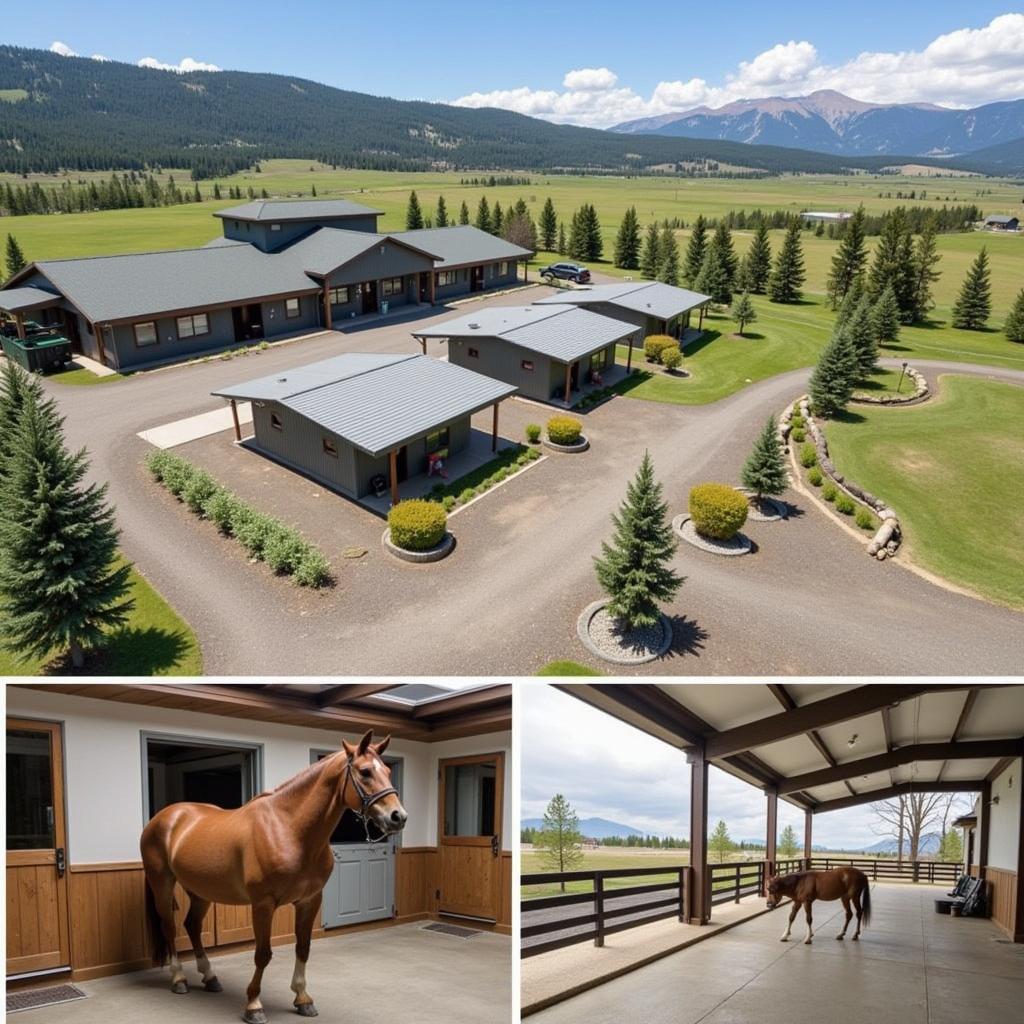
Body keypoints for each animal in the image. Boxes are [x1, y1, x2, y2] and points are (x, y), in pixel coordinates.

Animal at [140, 733, 403, 1019]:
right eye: (365, 772)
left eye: (388, 771)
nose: (398, 816)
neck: (288, 829)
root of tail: (164, 817)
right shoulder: (263, 904)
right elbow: (263, 953)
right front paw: (254, 1005)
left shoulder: (310, 901)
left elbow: (303, 947)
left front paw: (302, 998)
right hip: (163, 883)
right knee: (169, 926)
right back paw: (179, 979)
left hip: (200, 891)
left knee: (192, 926)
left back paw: (210, 977)